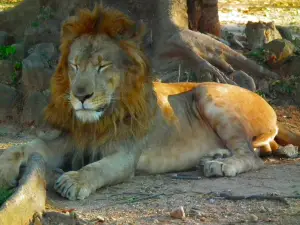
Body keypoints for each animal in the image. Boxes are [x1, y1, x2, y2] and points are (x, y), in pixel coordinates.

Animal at [0, 5, 300, 200]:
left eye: (102, 66)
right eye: (74, 66)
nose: (80, 96)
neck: (99, 119)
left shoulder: (125, 153)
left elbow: (97, 168)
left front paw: (74, 180)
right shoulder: (66, 140)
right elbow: (23, 147)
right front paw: (4, 170)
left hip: (207, 92)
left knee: (252, 156)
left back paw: (220, 165)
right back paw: (214, 156)